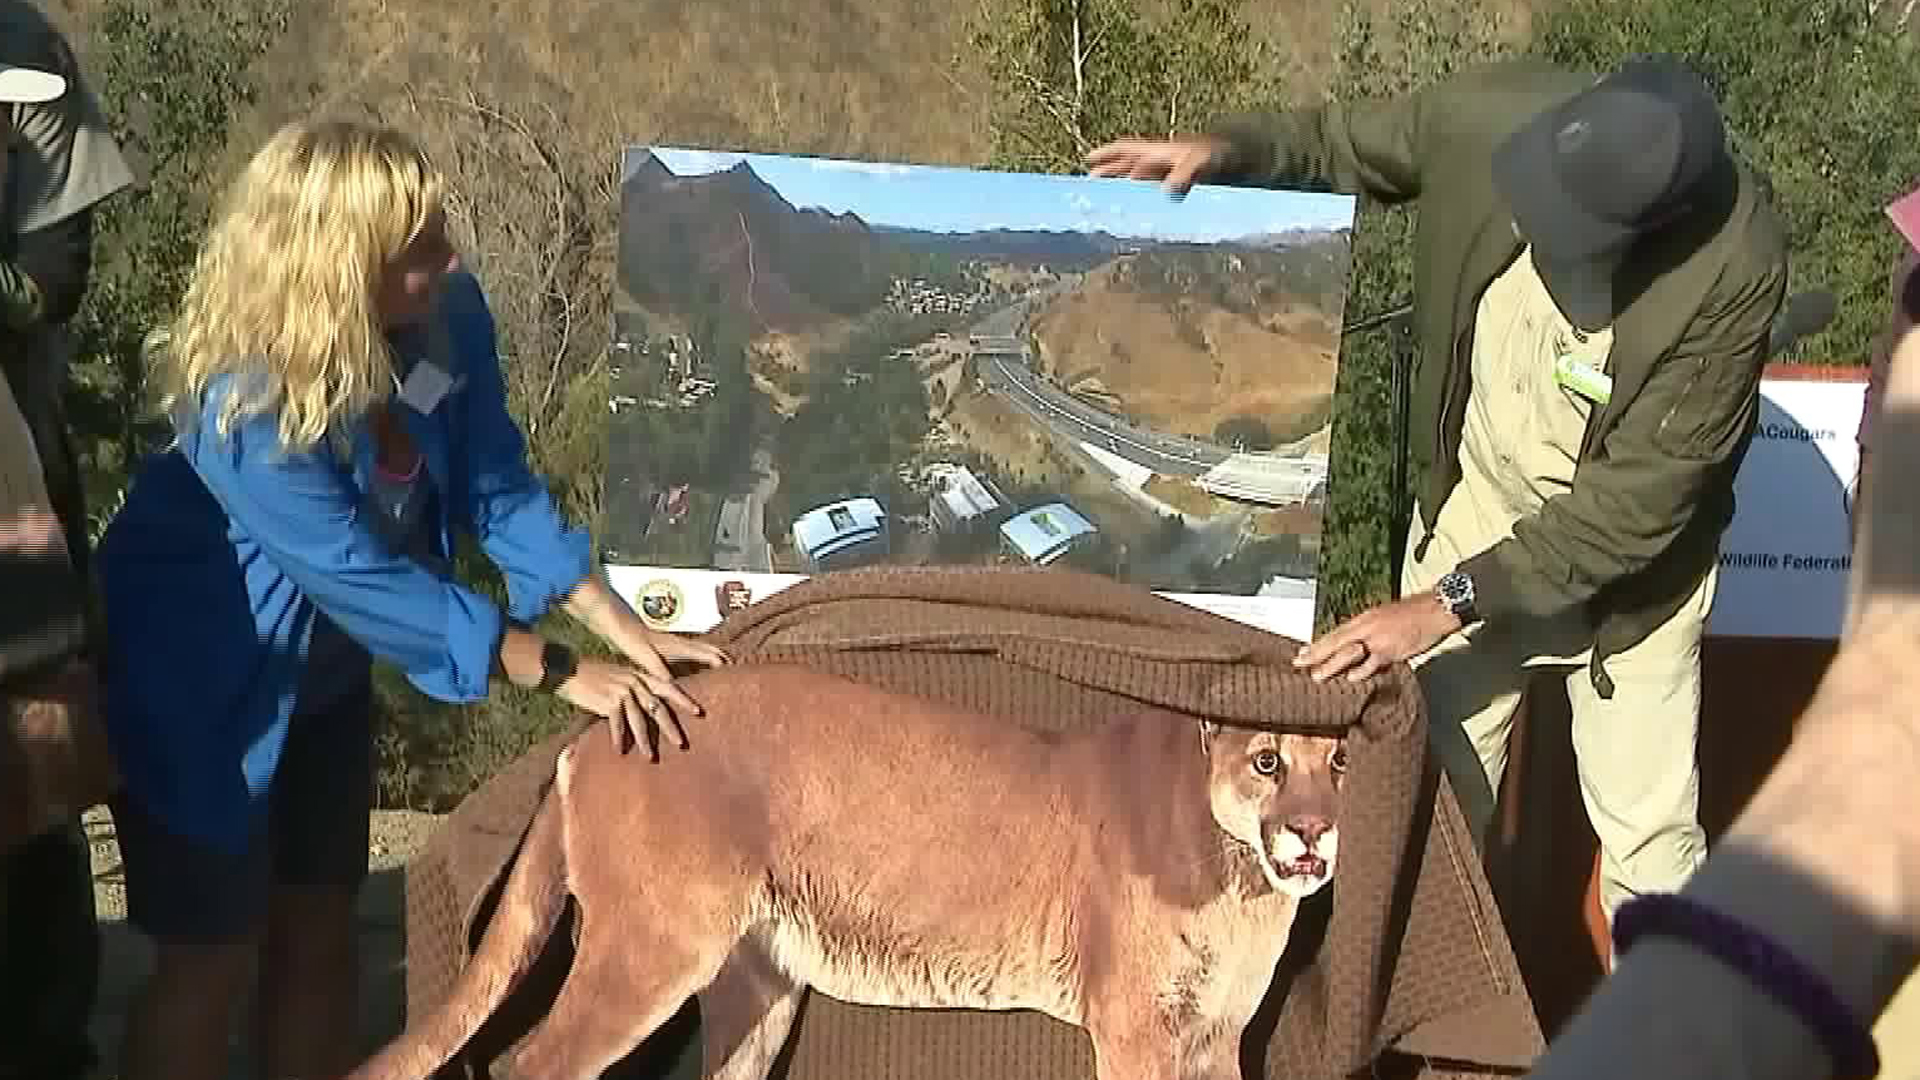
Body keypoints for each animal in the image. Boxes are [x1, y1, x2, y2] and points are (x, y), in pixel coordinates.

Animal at [345, 661, 1344, 1068]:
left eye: (1338, 763)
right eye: (1267, 762)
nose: (1313, 835)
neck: (1241, 881)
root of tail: (593, 735)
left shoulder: (1216, 1038)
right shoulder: (1137, 1030)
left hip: (758, 991)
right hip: (650, 953)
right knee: (532, 1064)